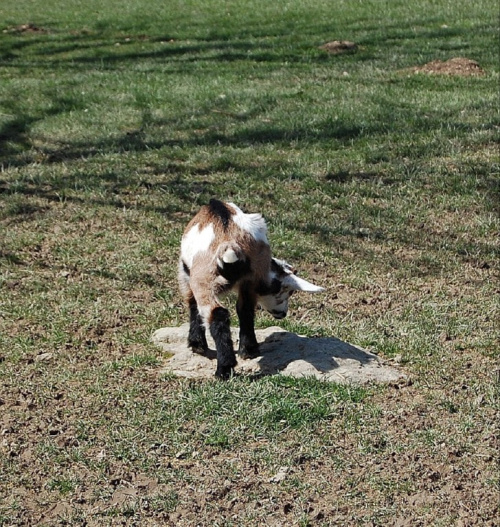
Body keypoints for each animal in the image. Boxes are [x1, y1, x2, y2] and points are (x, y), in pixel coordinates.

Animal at [180, 199, 324, 380]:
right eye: (284, 292)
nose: (283, 314)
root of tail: (230, 243)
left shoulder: (185, 274)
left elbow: (192, 304)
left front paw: (196, 344)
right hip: (252, 275)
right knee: (245, 309)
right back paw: (249, 350)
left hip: (203, 280)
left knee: (217, 313)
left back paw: (224, 369)